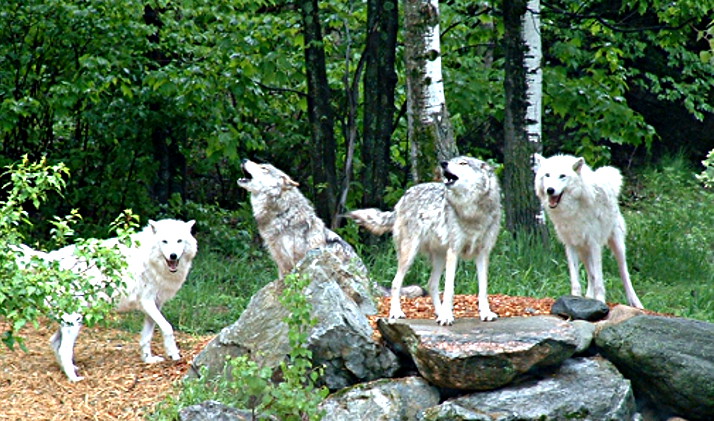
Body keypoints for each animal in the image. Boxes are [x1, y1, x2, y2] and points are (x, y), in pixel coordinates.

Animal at [27, 219, 198, 381]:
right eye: (165, 241)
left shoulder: (155, 305)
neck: (149, 259)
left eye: (179, 241)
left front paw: (148, 359)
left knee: (54, 342)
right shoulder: (147, 303)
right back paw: (74, 378)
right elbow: (168, 328)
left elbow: (147, 337)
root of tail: (51, 259)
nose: (173, 255)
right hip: (74, 320)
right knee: (63, 349)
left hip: (72, 320)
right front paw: (173, 353)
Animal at [346, 156, 502, 325]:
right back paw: (397, 312)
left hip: (440, 257)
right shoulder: (453, 251)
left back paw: (439, 313)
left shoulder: (483, 253)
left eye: (463, 163)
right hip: (410, 254)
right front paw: (447, 317)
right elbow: (449, 289)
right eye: (452, 160)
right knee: (396, 283)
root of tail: (404, 196)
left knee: (431, 284)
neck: (473, 212)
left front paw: (485, 313)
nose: (443, 163)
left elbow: (483, 289)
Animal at [533, 153, 643, 308]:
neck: (572, 210)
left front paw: (600, 300)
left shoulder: (594, 244)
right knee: (591, 274)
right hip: (583, 251)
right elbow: (576, 278)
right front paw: (574, 298)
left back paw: (635, 302)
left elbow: (599, 279)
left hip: (617, 246)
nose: (550, 190)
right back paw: (588, 297)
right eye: (547, 175)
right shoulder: (570, 245)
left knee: (624, 273)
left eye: (562, 176)